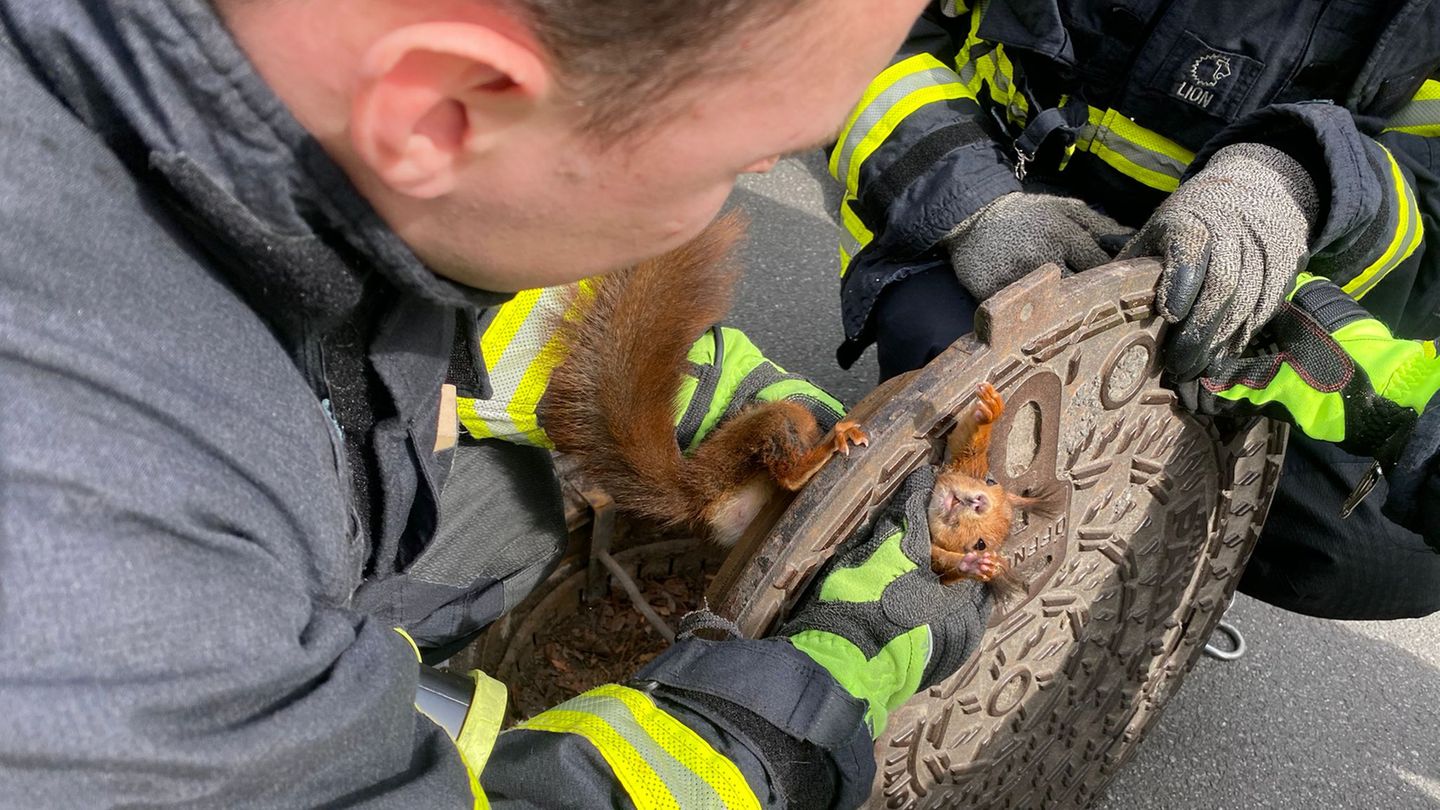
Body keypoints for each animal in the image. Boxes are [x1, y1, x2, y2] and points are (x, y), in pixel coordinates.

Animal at [927, 377, 1065, 593]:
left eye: (980, 545)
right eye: (990, 480)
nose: (980, 503)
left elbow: (939, 566)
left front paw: (974, 566)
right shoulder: (962, 464)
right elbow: (964, 444)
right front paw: (991, 410)